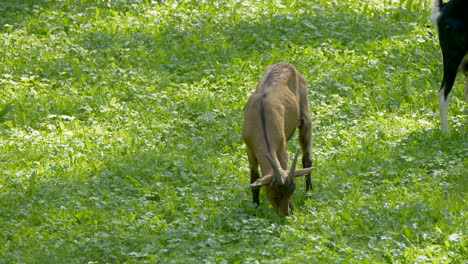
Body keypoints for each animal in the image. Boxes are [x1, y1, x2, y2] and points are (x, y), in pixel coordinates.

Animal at [241, 63, 314, 217]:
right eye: (273, 191)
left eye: (292, 190)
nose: (286, 213)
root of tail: (287, 64)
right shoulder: (250, 150)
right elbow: (254, 178)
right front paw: (255, 206)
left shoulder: (282, 149)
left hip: (305, 114)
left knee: (307, 158)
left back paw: (309, 191)